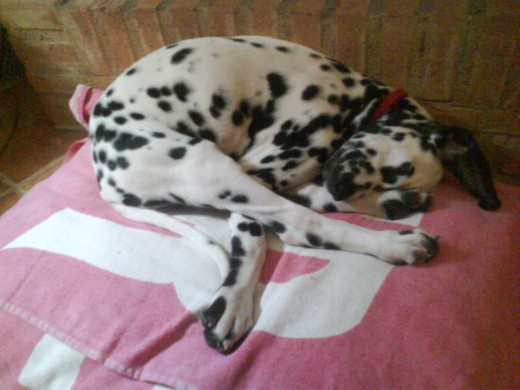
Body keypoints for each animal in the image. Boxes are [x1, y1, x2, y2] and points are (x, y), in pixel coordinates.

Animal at [88, 36, 500, 354]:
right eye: (392, 169)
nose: (342, 185)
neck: (358, 99)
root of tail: (104, 172)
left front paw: (388, 199)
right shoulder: (256, 168)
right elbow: (264, 232)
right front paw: (234, 297)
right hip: (212, 167)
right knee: (302, 225)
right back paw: (394, 242)